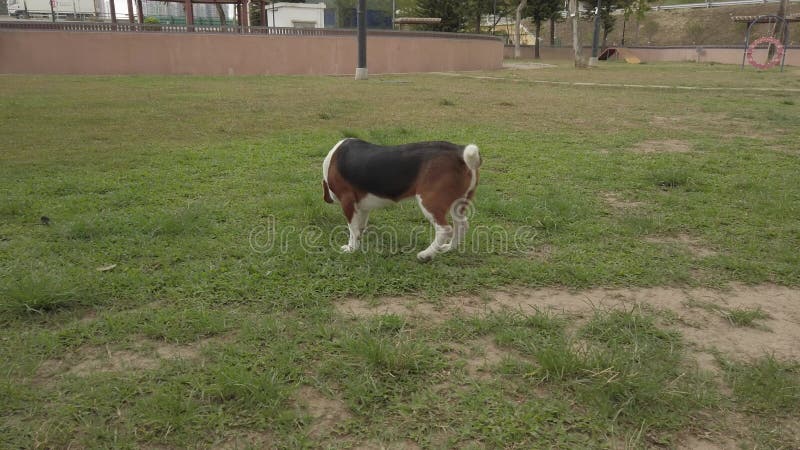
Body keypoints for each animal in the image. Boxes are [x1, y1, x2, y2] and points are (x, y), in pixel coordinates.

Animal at [324, 139, 482, 262]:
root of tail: (459, 153)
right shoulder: (362, 208)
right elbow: (359, 229)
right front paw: (357, 246)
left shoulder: (347, 202)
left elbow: (353, 229)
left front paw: (351, 249)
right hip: (458, 204)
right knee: (461, 225)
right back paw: (449, 248)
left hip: (429, 201)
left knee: (445, 229)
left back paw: (426, 255)